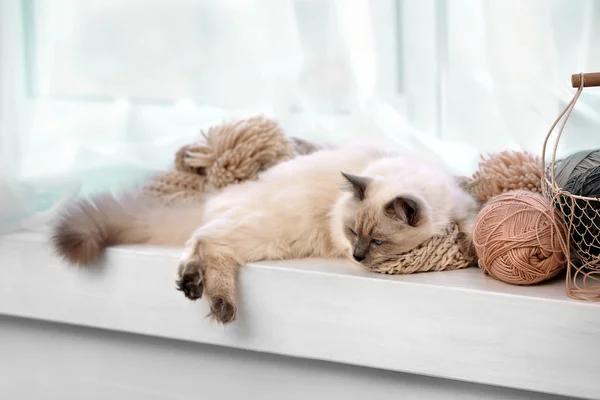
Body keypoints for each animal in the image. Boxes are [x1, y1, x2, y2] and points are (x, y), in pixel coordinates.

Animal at [51, 142, 478, 324]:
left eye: (376, 241)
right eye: (352, 233)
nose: (357, 255)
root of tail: (224, 195)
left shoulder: (461, 207)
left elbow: (467, 229)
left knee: (206, 247)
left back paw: (199, 290)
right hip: (271, 232)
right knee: (205, 239)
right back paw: (214, 301)